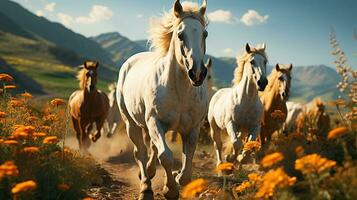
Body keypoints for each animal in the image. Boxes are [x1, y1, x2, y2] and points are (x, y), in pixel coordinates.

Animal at [115, 0, 210, 199]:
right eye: (180, 35)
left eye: (204, 34)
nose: (197, 73)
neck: (181, 92)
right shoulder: (155, 122)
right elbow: (165, 156)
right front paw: (170, 189)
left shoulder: (192, 129)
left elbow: (187, 164)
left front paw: (177, 177)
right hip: (132, 124)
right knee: (141, 152)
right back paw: (145, 187)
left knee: (151, 148)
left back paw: (150, 173)